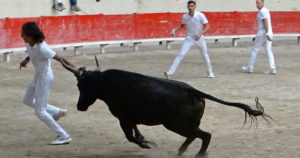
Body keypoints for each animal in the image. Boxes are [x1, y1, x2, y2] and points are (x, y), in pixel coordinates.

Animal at [60, 58, 270, 158]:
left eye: (80, 85)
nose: (79, 106)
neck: (105, 83)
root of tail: (192, 91)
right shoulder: (130, 117)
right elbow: (136, 131)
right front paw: (145, 140)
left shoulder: (123, 118)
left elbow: (130, 136)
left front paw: (146, 144)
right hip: (183, 124)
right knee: (195, 135)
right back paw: (181, 150)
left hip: (175, 124)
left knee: (204, 135)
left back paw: (198, 154)